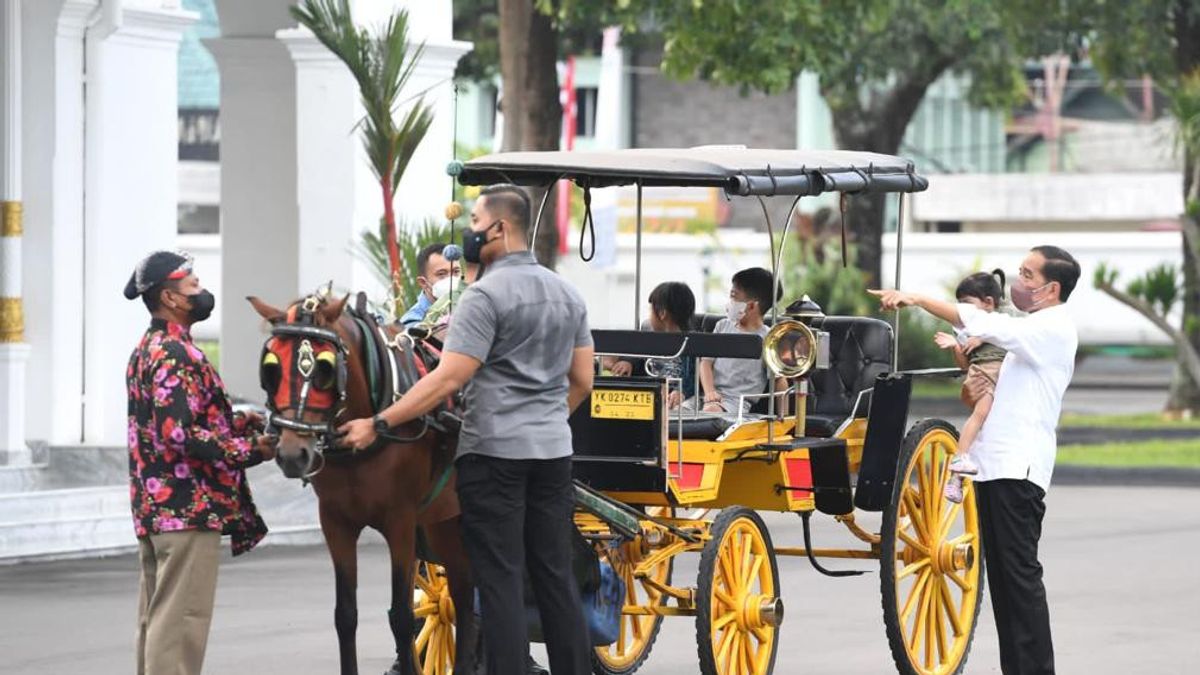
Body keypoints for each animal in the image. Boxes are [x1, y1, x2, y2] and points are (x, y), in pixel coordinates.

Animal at [249, 293, 477, 672]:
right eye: (271, 367)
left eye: (325, 369)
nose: (293, 454)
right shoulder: (336, 523)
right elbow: (345, 615)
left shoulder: (401, 522)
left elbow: (401, 616)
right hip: (442, 522)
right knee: (462, 592)